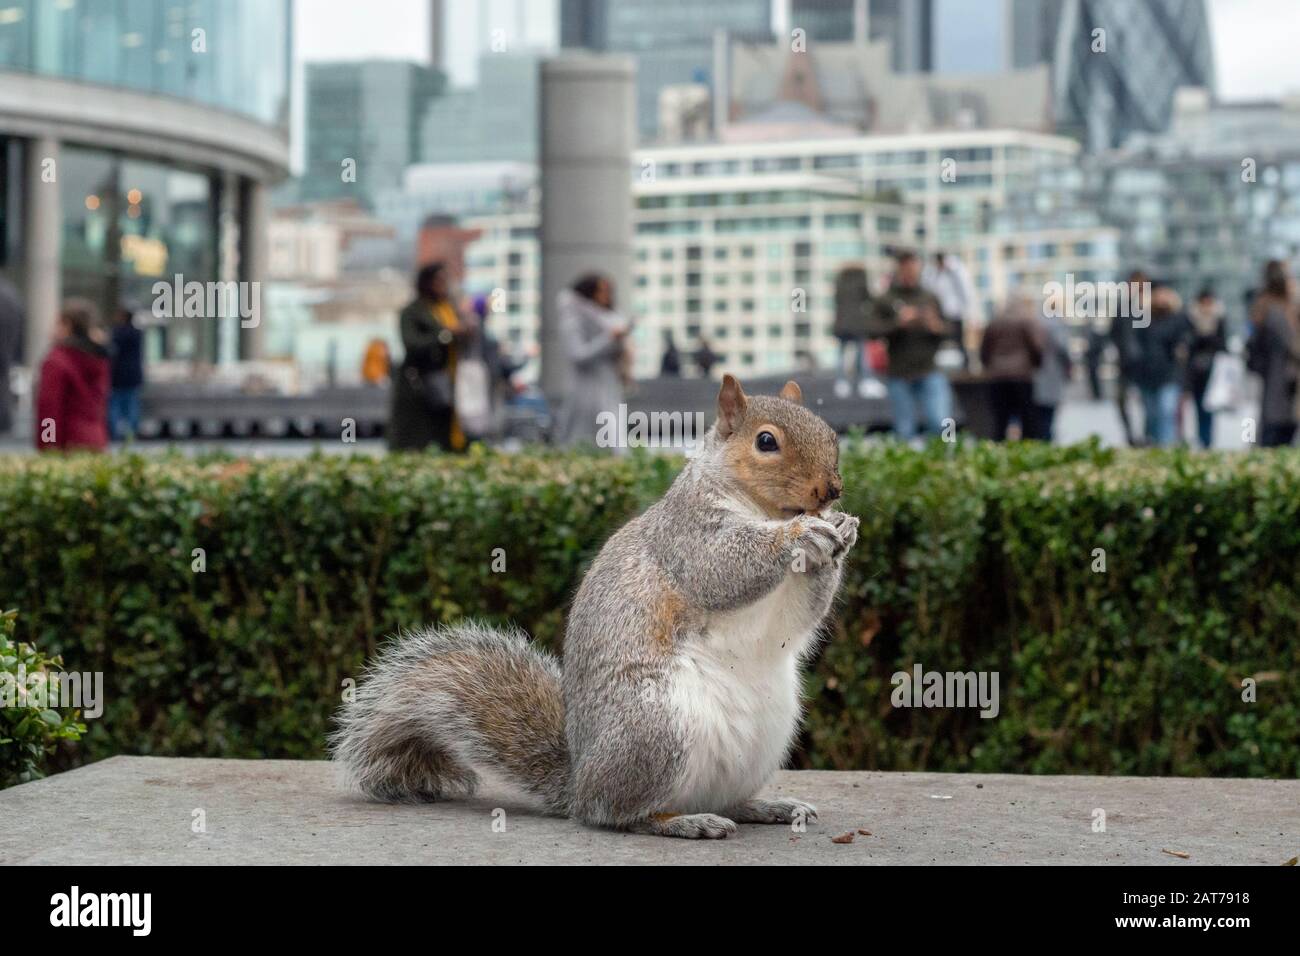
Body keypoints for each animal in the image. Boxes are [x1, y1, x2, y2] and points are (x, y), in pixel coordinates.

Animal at [335, 377, 857, 842]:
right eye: (766, 441)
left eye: (830, 433)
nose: (832, 490)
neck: (763, 511)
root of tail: (579, 779)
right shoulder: (687, 535)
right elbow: (722, 569)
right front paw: (801, 535)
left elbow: (800, 615)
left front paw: (842, 532)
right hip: (655, 727)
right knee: (616, 812)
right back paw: (681, 822)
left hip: (766, 733)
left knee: (721, 799)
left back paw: (766, 806)